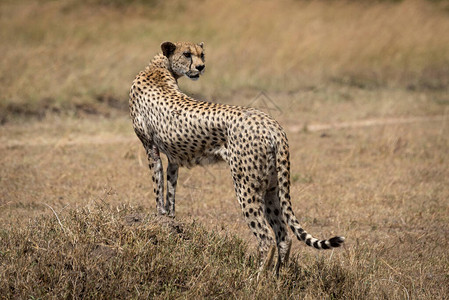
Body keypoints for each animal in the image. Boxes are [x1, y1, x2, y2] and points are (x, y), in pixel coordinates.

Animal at [128, 41, 344, 274]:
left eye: (201, 54)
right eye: (187, 54)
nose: (201, 67)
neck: (160, 68)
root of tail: (271, 123)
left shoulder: (151, 148)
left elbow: (157, 185)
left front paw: (159, 216)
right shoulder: (173, 157)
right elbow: (170, 189)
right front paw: (169, 219)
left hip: (245, 186)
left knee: (266, 238)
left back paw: (256, 278)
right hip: (271, 188)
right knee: (283, 235)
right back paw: (278, 277)